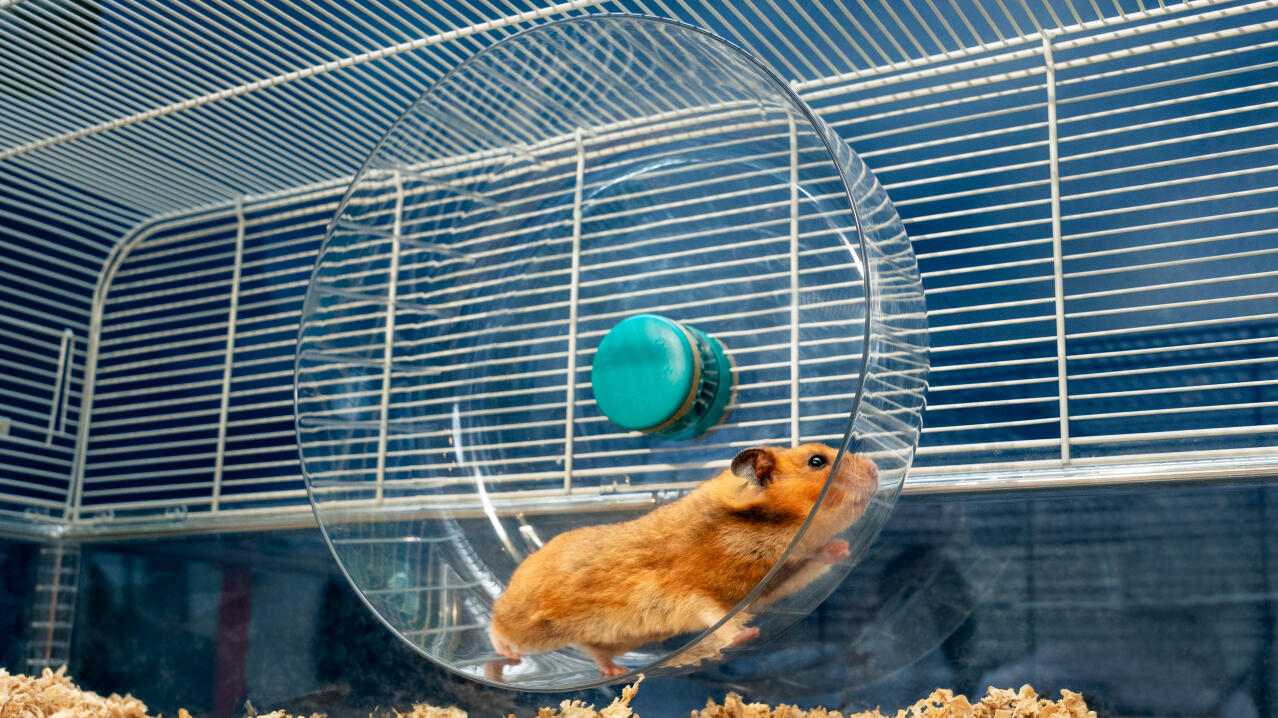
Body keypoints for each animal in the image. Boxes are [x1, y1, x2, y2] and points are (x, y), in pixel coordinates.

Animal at [488, 442, 878, 678]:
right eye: (817, 462)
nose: (875, 467)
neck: (761, 533)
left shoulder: (776, 581)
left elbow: (812, 565)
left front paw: (841, 548)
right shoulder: (687, 591)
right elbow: (717, 617)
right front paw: (747, 635)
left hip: (613, 640)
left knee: (593, 650)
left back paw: (615, 672)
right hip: (531, 624)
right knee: (496, 624)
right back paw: (507, 657)